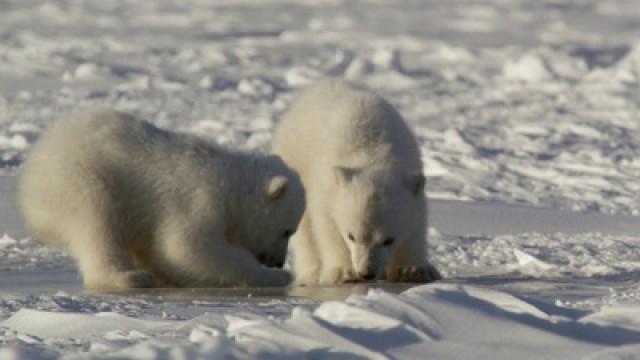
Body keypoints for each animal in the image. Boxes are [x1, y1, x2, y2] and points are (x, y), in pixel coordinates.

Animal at [17, 109, 302, 290]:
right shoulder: (200, 198)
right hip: (79, 177)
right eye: (287, 231)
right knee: (96, 221)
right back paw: (127, 277)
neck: (232, 184)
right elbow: (187, 247)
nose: (277, 262)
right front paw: (278, 277)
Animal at [272, 79, 442, 284]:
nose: (367, 272)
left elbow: (414, 228)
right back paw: (311, 272)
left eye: (388, 240)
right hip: (295, 160)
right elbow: (327, 227)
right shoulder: (325, 186)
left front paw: (413, 270)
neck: (373, 151)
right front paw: (343, 273)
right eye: (351, 236)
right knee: (303, 228)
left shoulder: (412, 178)